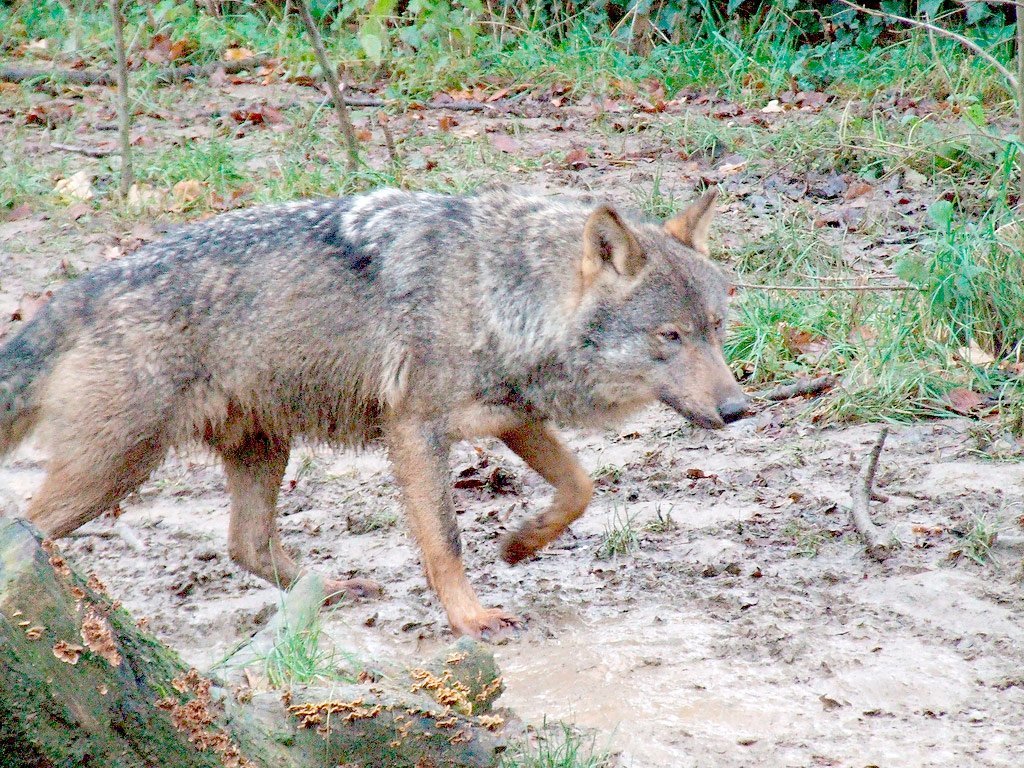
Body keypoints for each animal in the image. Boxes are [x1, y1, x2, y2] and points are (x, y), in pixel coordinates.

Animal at [0, 186, 748, 638]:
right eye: (670, 336)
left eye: (716, 328)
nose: (739, 409)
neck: (498, 293)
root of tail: (80, 290)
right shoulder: (416, 430)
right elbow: (444, 542)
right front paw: (471, 618)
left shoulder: (512, 418)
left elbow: (580, 489)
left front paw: (519, 544)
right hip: (115, 471)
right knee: (29, 526)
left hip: (261, 450)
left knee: (245, 543)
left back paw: (329, 591)